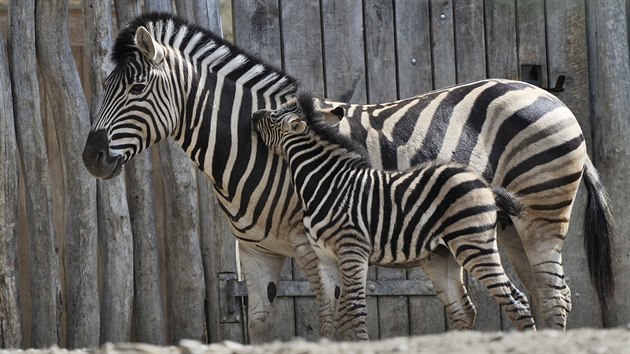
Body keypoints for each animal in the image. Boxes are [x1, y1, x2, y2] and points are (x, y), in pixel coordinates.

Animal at [253, 93, 540, 340]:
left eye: (274, 115)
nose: (255, 113)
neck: (324, 183)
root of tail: (483, 183)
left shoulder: (352, 250)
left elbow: (354, 309)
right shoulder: (326, 257)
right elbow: (331, 311)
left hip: (474, 243)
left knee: (516, 299)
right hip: (442, 254)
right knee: (464, 309)